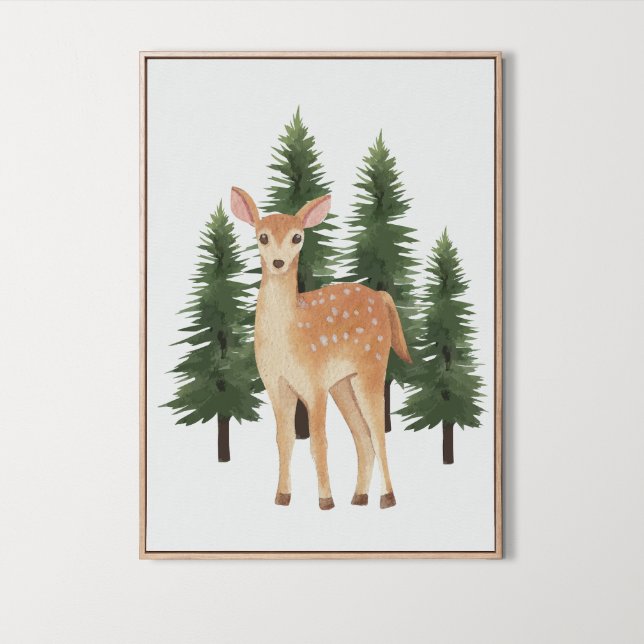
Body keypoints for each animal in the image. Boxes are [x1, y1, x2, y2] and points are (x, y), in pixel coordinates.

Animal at [230, 187, 412, 510]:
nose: (278, 262)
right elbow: (284, 439)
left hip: (372, 366)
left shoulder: (314, 383)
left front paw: (325, 500)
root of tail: (381, 296)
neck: (287, 339)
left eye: (297, 237)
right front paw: (282, 496)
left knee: (378, 432)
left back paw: (386, 498)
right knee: (362, 436)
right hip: (342, 383)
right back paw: (359, 497)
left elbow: (318, 442)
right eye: (262, 236)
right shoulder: (275, 384)